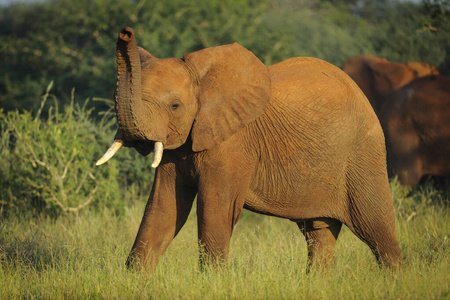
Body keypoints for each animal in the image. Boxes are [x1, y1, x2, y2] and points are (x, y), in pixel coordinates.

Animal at [96, 27, 402, 272]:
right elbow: (163, 209)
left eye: (174, 106)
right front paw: (134, 281)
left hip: (364, 153)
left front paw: (213, 283)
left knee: (376, 228)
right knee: (319, 233)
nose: (126, 32)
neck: (204, 79)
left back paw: (394, 282)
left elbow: (215, 209)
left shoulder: (233, 142)